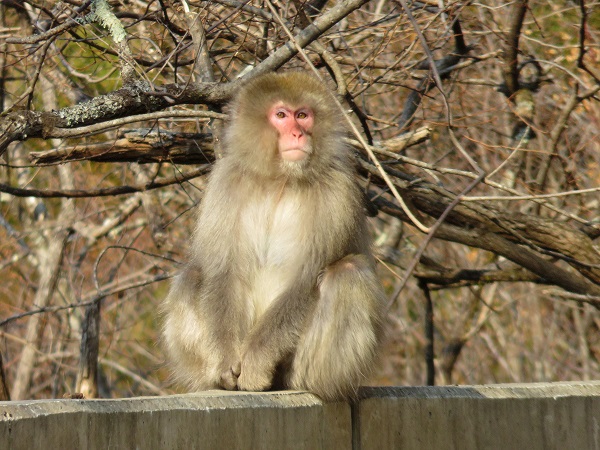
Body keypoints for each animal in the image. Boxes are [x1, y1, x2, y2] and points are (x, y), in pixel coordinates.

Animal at [161, 71, 384, 400]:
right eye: (281, 116)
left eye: (303, 115)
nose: (298, 134)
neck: (281, 179)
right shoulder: (226, 181)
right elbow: (223, 273)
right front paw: (225, 363)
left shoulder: (337, 190)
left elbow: (305, 280)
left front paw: (256, 362)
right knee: (192, 275)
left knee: (348, 272)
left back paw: (312, 384)